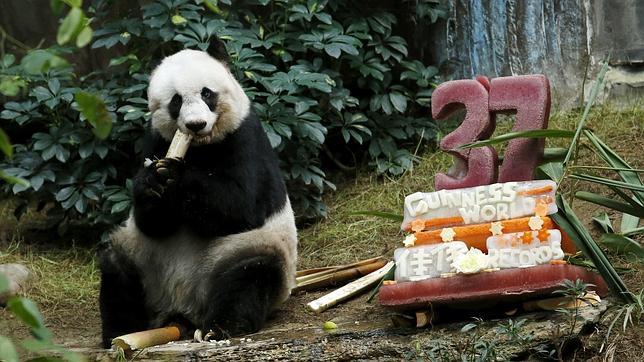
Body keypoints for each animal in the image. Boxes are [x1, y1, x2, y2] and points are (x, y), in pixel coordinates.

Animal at [98, 43, 300, 350]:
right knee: (117, 270)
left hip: (242, 250)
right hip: (143, 259)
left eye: (207, 93)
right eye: (176, 101)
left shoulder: (246, 138)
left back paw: (220, 327)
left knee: (250, 276)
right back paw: (121, 331)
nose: (195, 124)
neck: (200, 147)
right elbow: (152, 223)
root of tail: (182, 309)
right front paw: (153, 181)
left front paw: (175, 175)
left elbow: (241, 206)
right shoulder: (156, 139)